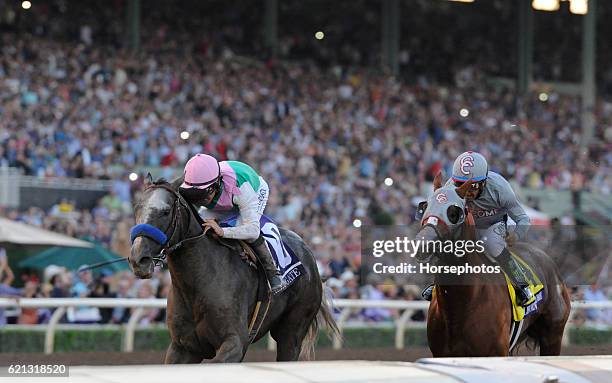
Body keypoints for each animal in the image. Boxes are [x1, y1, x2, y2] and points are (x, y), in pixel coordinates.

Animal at [130, 177, 340, 364]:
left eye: (165, 211)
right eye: (137, 208)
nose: (138, 259)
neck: (199, 282)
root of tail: (308, 252)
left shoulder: (235, 342)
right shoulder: (183, 348)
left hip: (292, 331)